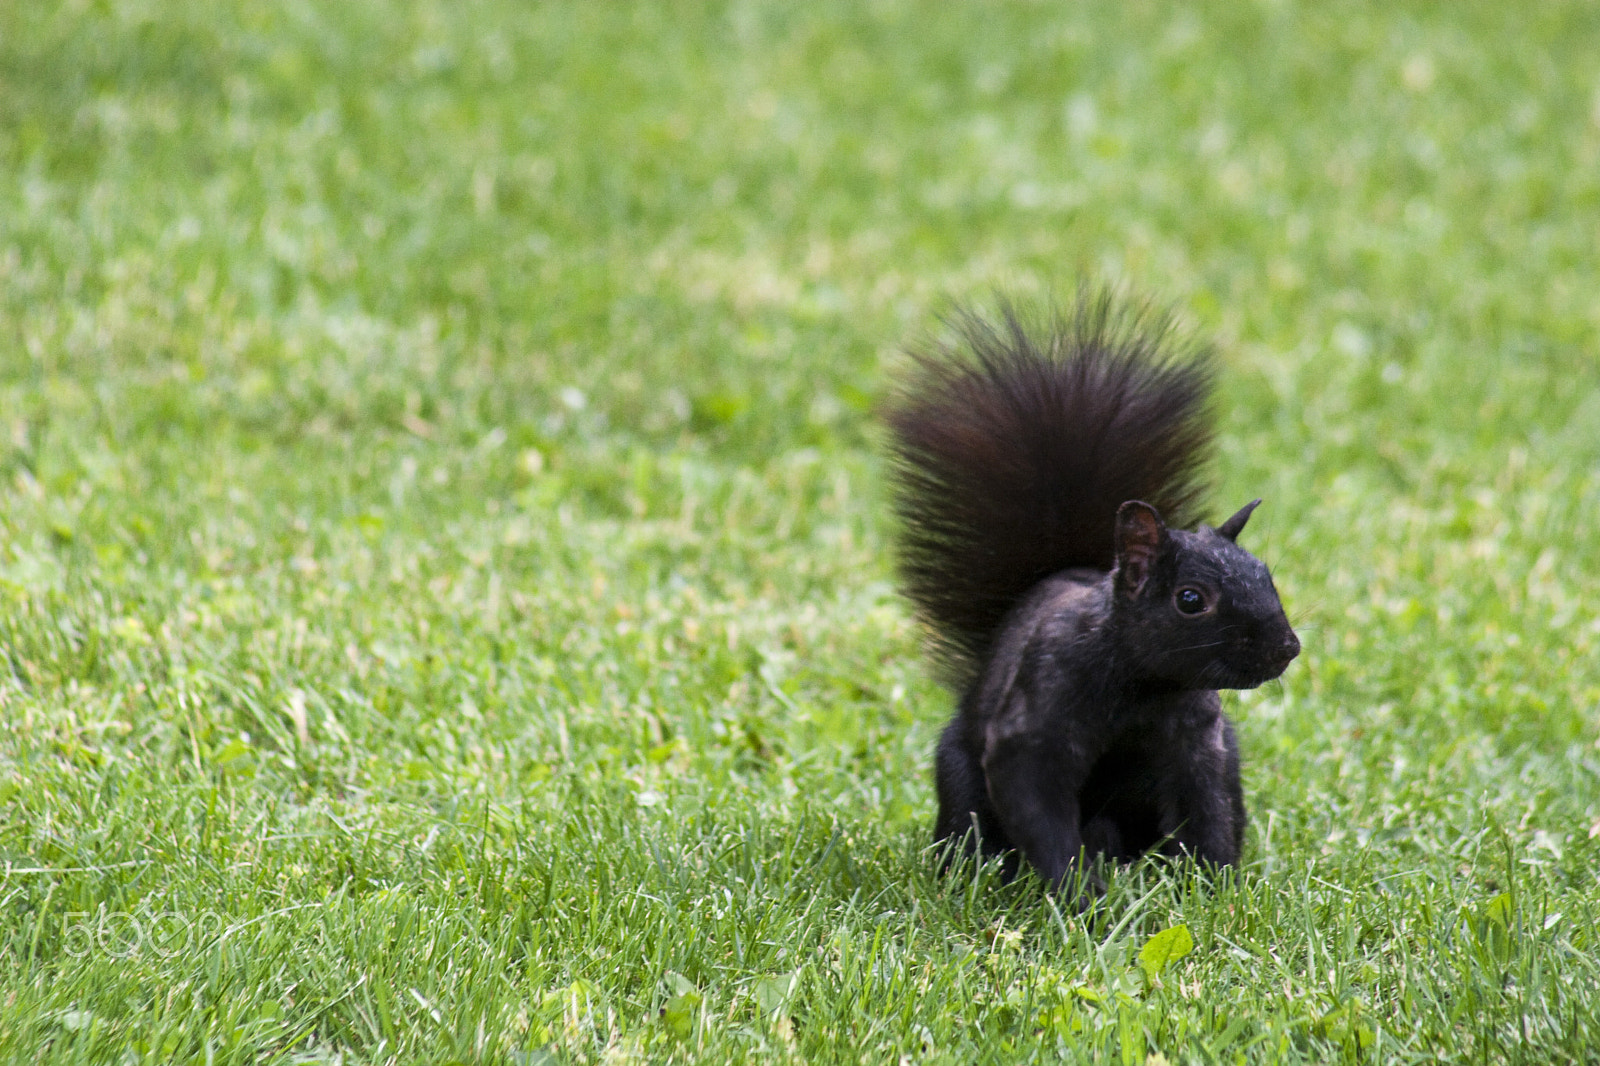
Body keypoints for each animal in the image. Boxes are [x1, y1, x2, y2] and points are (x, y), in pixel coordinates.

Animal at [884, 290, 1300, 897]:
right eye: (1191, 599)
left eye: (1266, 575)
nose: (1286, 648)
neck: (1144, 686)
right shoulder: (1036, 722)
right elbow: (1038, 803)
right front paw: (1081, 898)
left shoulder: (1200, 744)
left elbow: (1209, 812)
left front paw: (1214, 892)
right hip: (961, 780)